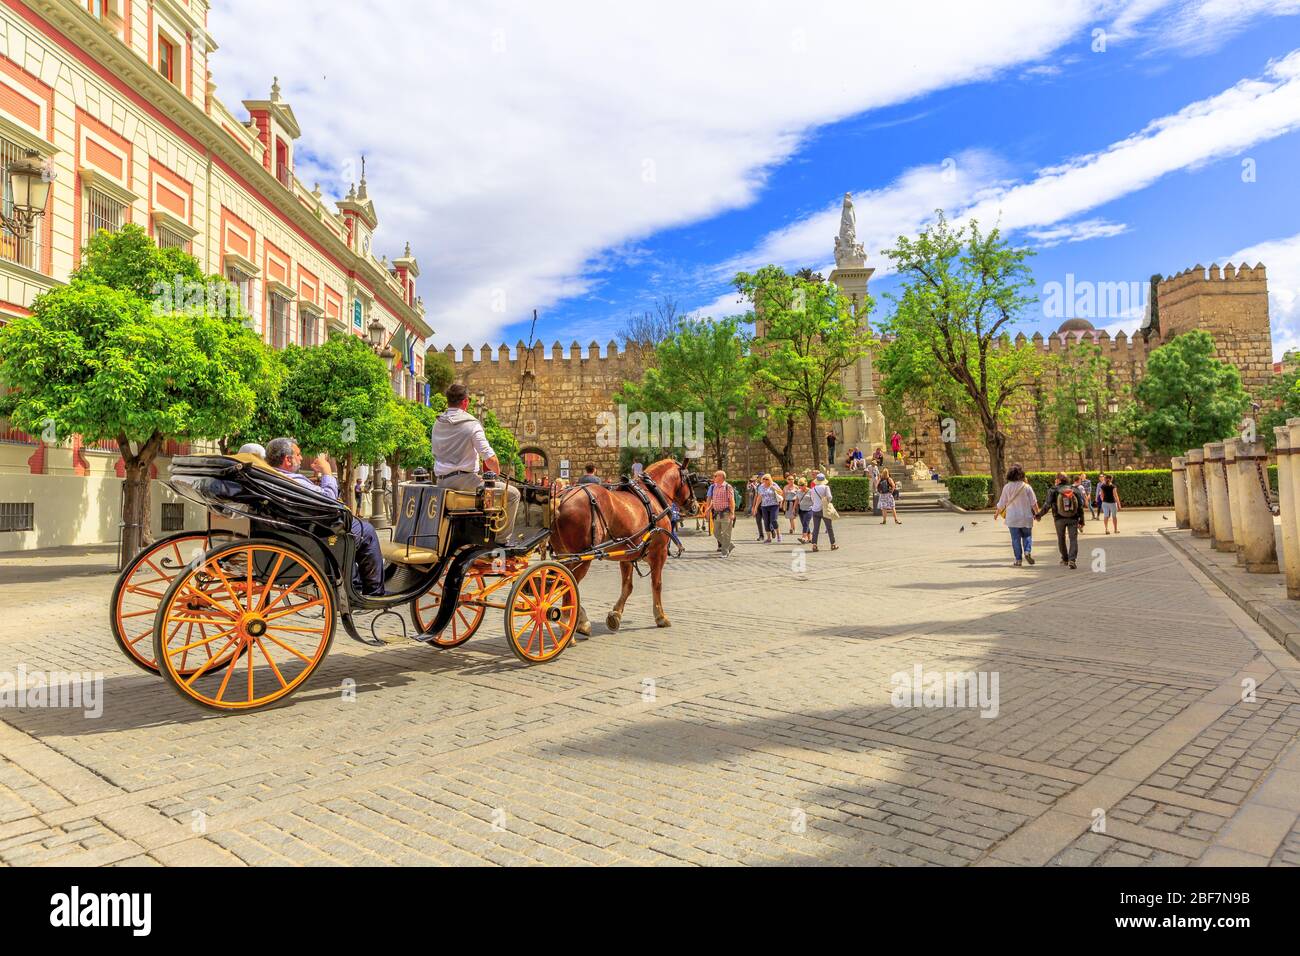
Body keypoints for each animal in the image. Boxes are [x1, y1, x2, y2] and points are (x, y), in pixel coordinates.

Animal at [556, 457, 707, 634]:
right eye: (691, 479)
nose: (695, 506)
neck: (653, 496)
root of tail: (562, 499)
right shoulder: (660, 552)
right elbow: (657, 584)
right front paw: (661, 616)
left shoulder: (627, 555)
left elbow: (628, 586)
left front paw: (615, 614)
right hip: (580, 558)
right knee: (568, 587)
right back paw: (569, 627)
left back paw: (579, 621)